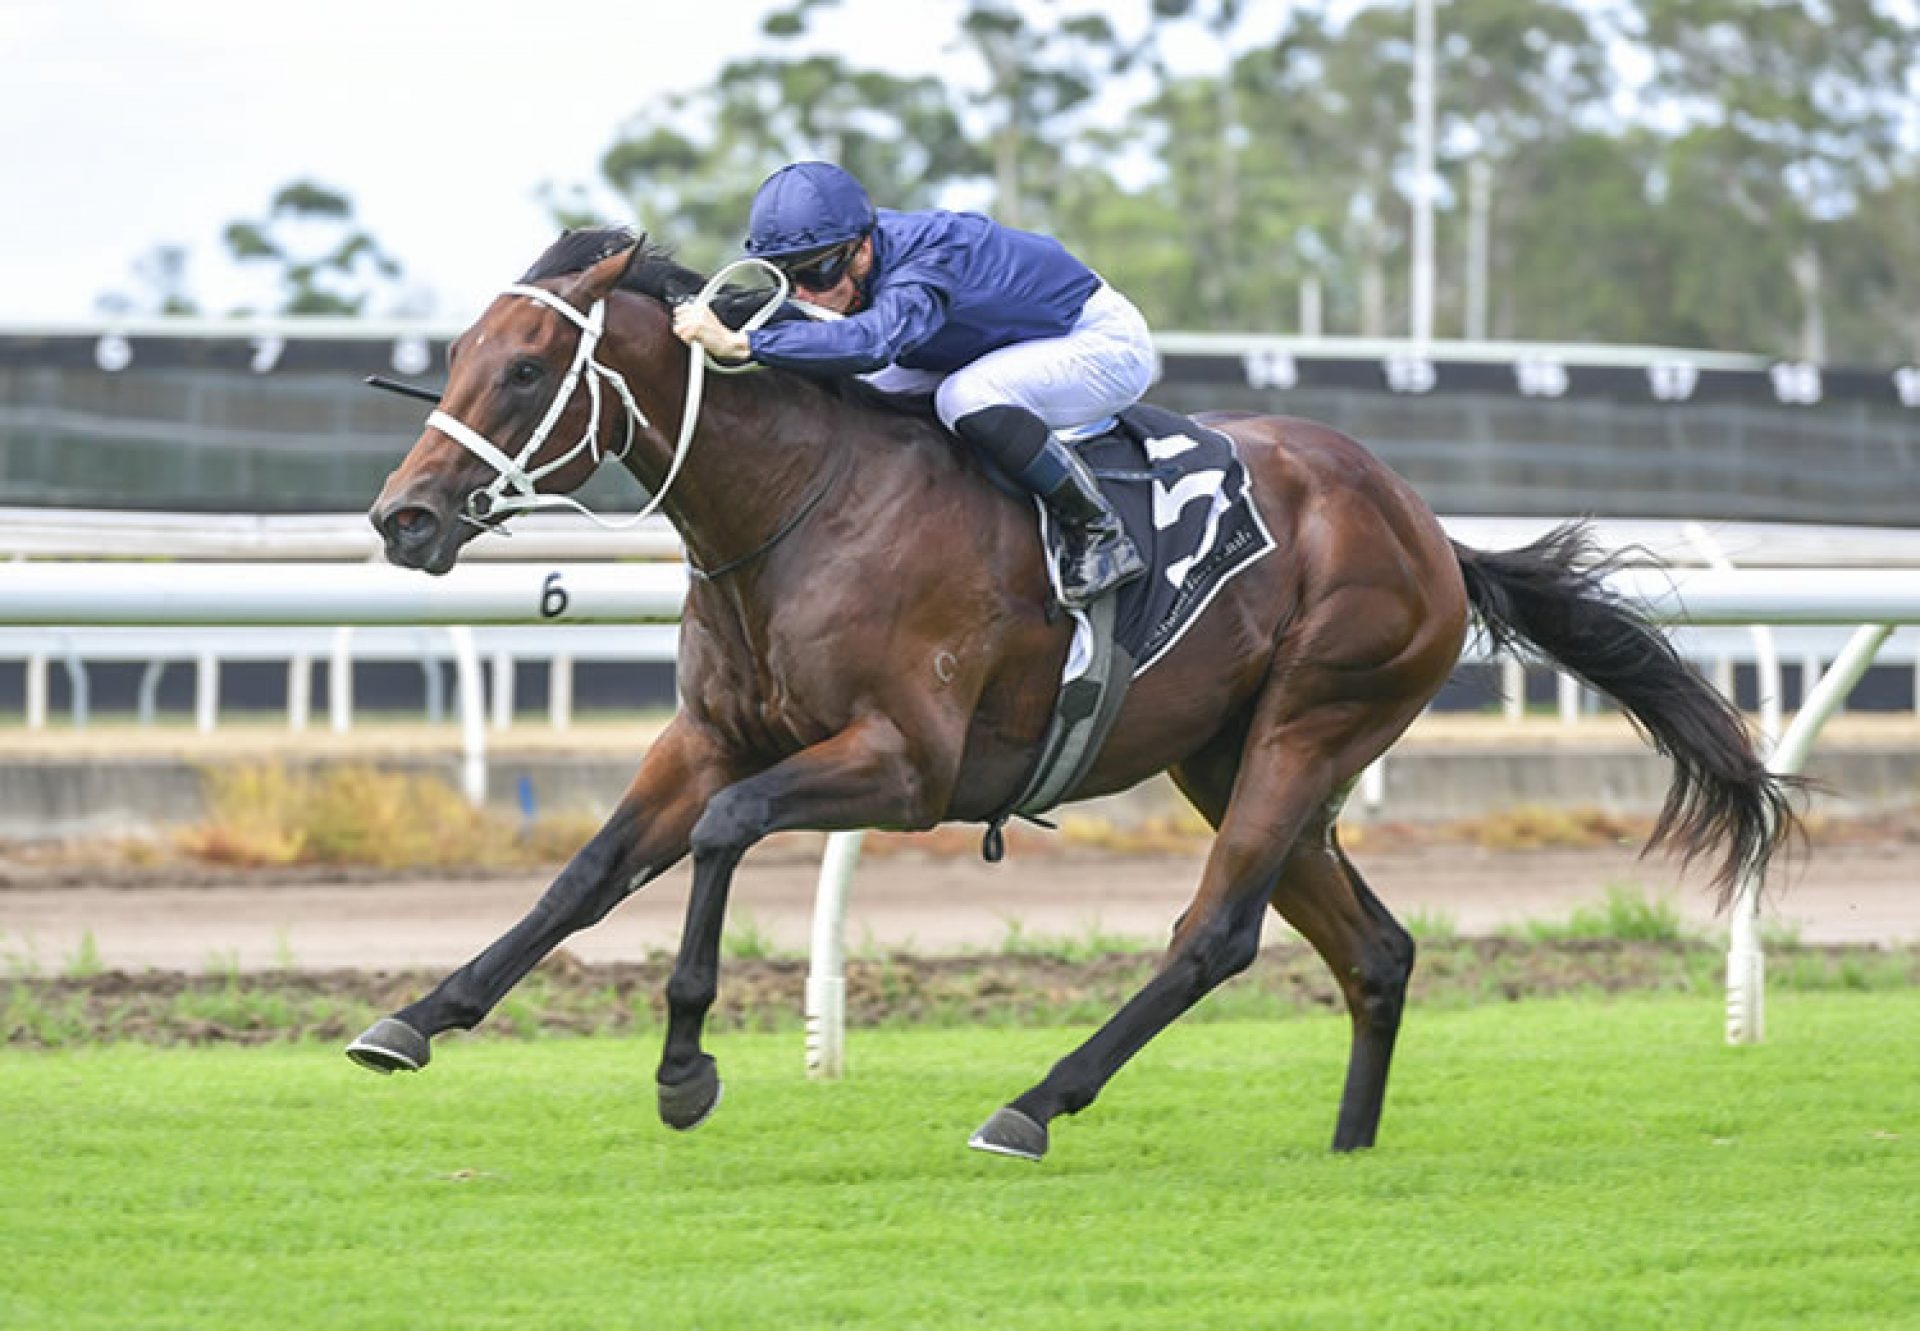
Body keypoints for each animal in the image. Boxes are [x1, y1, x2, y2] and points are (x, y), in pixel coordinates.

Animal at [353, 231, 1789, 1160]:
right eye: (460, 355)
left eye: (526, 370)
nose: (402, 517)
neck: (795, 505)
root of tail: (1429, 528)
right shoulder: (708, 735)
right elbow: (588, 870)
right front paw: (414, 1018)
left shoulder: (905, 765)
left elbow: (723, 831)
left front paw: (685, 1067)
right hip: (1229, 753)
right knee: (1374, 947)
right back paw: (1347, 1144)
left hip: (1314, 719)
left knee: (1216, 934)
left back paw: (1032, 1104)